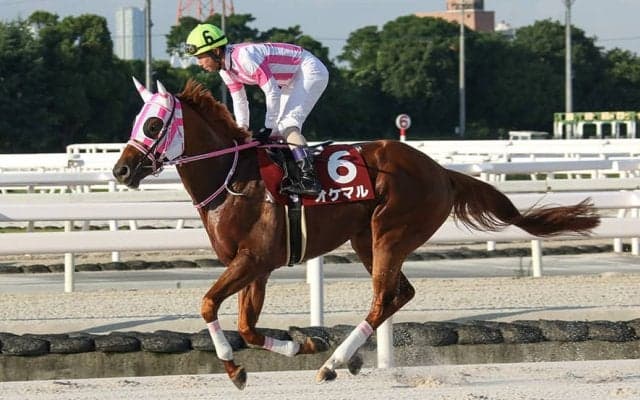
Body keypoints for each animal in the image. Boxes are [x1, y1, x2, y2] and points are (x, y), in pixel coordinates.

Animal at [113, 77, 600, 389]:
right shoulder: (257, 266)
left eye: (153, 124)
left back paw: (333, 364)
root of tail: (441, 171)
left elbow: (208, 304)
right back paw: (342, 358)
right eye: (136, 121)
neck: (234, 176)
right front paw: (303, 342)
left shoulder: (253, 260)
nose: (120, 170)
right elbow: (248, 327)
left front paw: (235, 370)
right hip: (367, 239)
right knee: (400, 294)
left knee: (384, 297)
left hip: (391, 232)